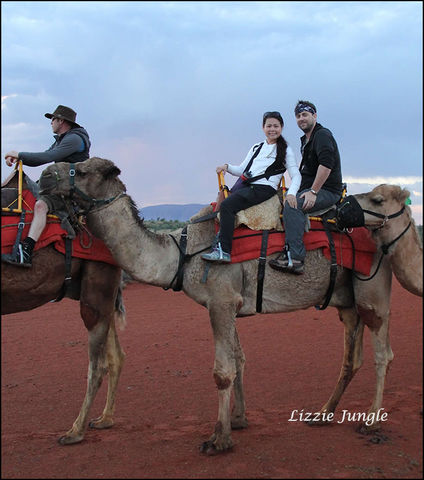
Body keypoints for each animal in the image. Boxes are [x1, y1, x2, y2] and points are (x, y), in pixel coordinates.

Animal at [0, 171, 126, 444]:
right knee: (116, 356)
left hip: (97, 288)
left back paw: (75, 431)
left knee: (98, 364)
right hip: (99, 294)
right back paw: (104, 419)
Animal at [39, 158, 418, 454]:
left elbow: (222, 371)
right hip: (346, 301)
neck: (183, 252)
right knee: (351, 356)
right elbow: (238, 360)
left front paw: (218, 439)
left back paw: (371, 422)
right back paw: (322, 414)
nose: (43, 176)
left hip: (373, 290)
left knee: (383, 353)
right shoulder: (230, 304)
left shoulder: (219, 301)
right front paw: (238, 420)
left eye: (81, 169)